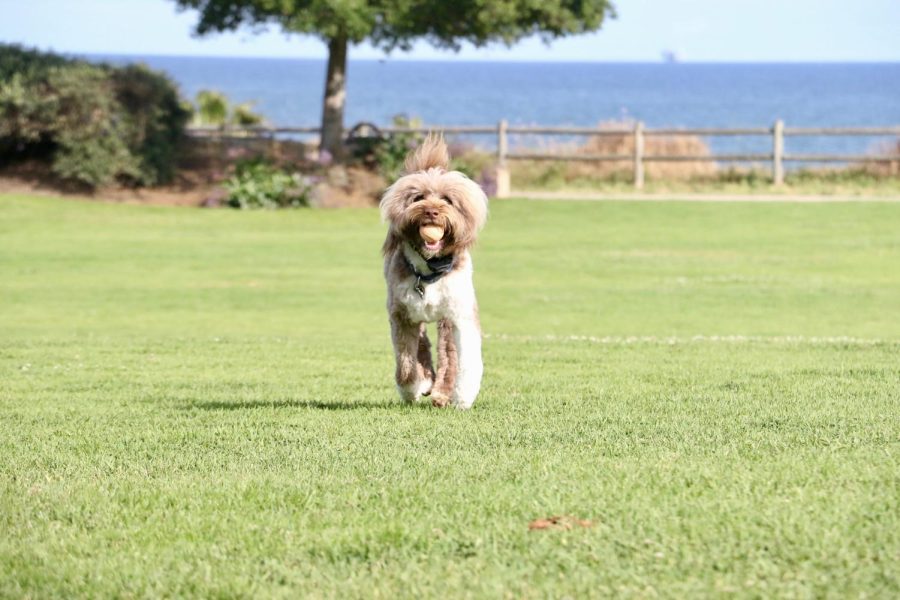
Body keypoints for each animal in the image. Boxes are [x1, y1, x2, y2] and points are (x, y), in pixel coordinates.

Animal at [382, 134, 492, 410]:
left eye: (447, 200)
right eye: (418, 198)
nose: (431, 211)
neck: (429, 272)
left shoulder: (458, 315)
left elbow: (463, 361)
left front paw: (460, 398)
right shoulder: (401, 316)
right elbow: (406, 361)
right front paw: (412, 388)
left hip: (445, 317)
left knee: (446, 353)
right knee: (423, 344)